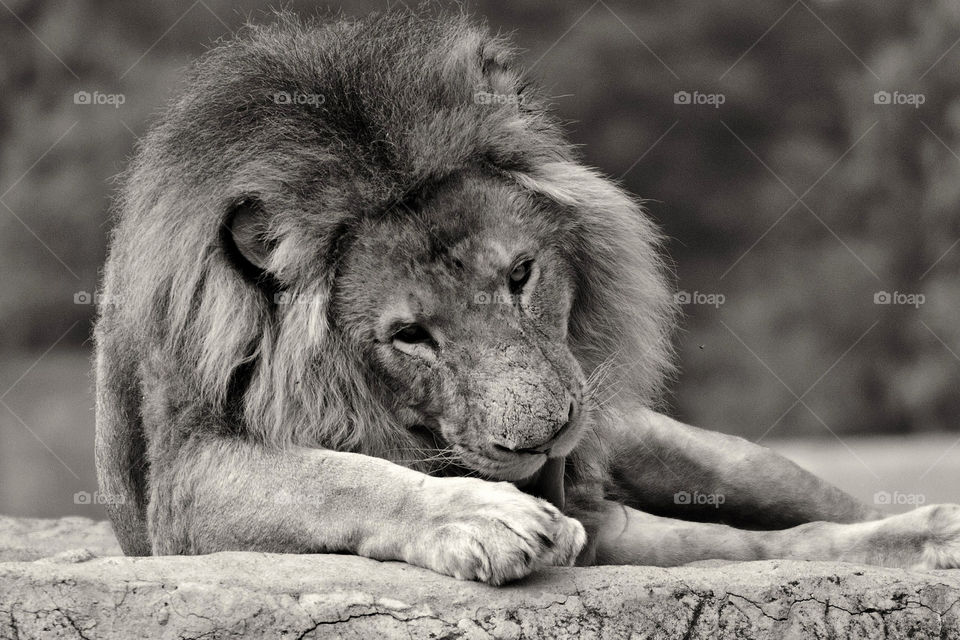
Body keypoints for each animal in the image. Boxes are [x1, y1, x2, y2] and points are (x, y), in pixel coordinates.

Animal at [95, 10, 960, 584]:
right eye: (409, 335)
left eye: (519, 275)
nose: (547, 436)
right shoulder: (183, 477)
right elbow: (337, 478)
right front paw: (484, 518)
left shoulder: (601, 511)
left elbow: (765, 541)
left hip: (716, 457)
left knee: (816, 505)